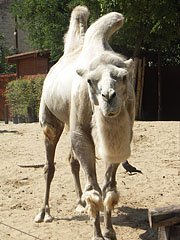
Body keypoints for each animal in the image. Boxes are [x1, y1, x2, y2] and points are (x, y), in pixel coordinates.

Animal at [34, 6, 135, 240]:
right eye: (90, 81)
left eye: (123, 77)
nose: (109, 96)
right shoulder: (80, 127)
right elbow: (94, 190)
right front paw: (97, 234)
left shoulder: (122, 136)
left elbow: (109, 188)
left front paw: (109, 231)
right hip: (50, 118)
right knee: (49, 163)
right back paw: (44, 213)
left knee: (72, 160)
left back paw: (80, 203)